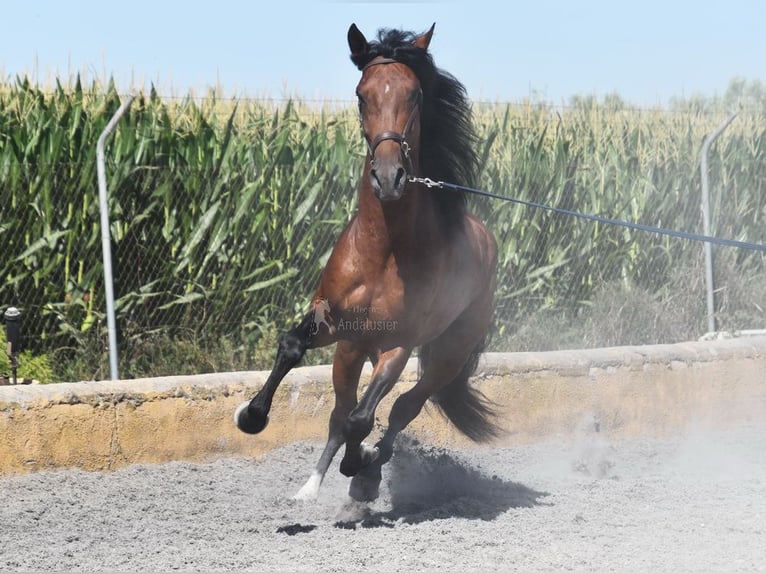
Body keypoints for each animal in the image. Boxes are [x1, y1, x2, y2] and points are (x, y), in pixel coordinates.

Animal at [234, 22, 500, 502]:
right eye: (362, 94)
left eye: (415, 94)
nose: (389, 178)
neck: (384, 253)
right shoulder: (334, 324)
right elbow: (292, 347)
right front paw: (251, 416)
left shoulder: (397, 346)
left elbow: (364, 417)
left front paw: (360, 469)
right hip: (351, 350)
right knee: (341, 413)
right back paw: (312, 487)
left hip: (445, 355)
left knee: (401, 409)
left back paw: (368, 472)